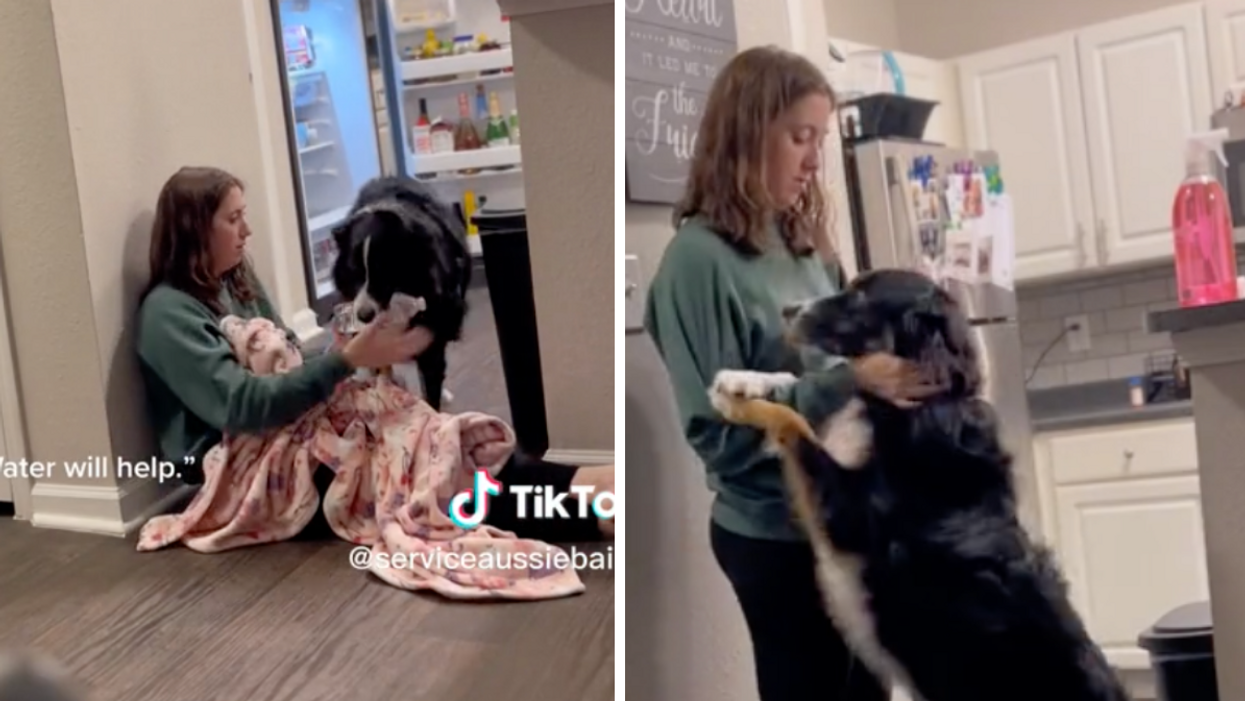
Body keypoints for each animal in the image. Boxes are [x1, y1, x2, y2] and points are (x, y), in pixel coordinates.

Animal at [712, 270, 1130, 701]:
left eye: (860, 297)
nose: (788, 309)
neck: (921, 405)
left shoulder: (845, 510)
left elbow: (792, 423)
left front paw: (737, 403)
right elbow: (800, 401)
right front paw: (745, 381)